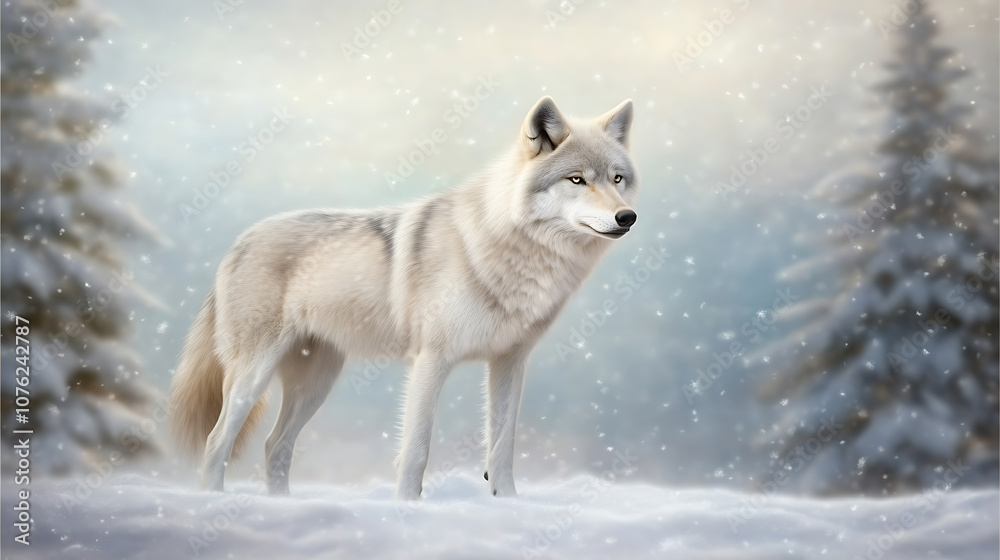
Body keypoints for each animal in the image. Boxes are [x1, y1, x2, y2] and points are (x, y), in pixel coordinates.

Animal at [170, 96, 639, 499]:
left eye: (617, 179)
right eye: (577, 179)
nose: (627, 217)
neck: (507, 252)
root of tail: (239, 241)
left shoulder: (509, 362)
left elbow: (502, 447)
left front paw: (508, 504)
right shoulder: (431, 360)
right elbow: (416, 450)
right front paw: (408, 508)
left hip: (316, 384)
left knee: (275, 445)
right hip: (255, 377)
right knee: (217, 441)